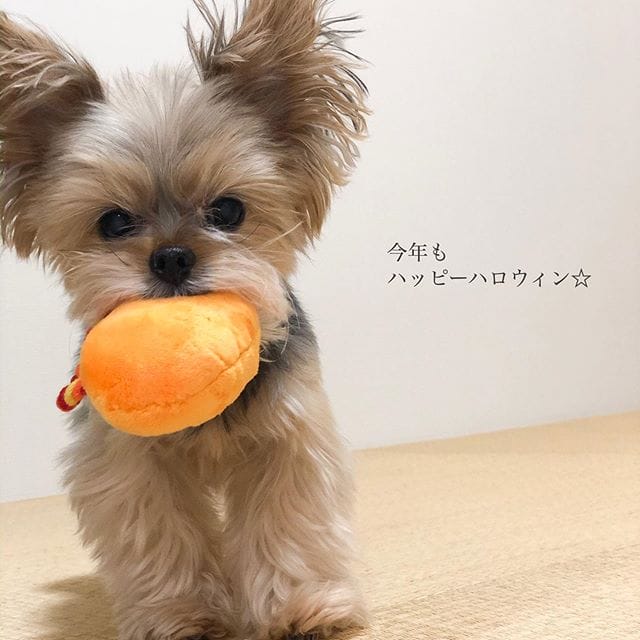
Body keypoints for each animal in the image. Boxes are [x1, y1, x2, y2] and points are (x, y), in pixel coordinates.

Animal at [0, 1, 369, 638]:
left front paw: (301, 608)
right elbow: (160, 533)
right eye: (113, 222)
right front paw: (180, 617)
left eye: (228, 210)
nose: (171, 257)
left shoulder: (288, 439)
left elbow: (288, 522)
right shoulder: (130, 464)